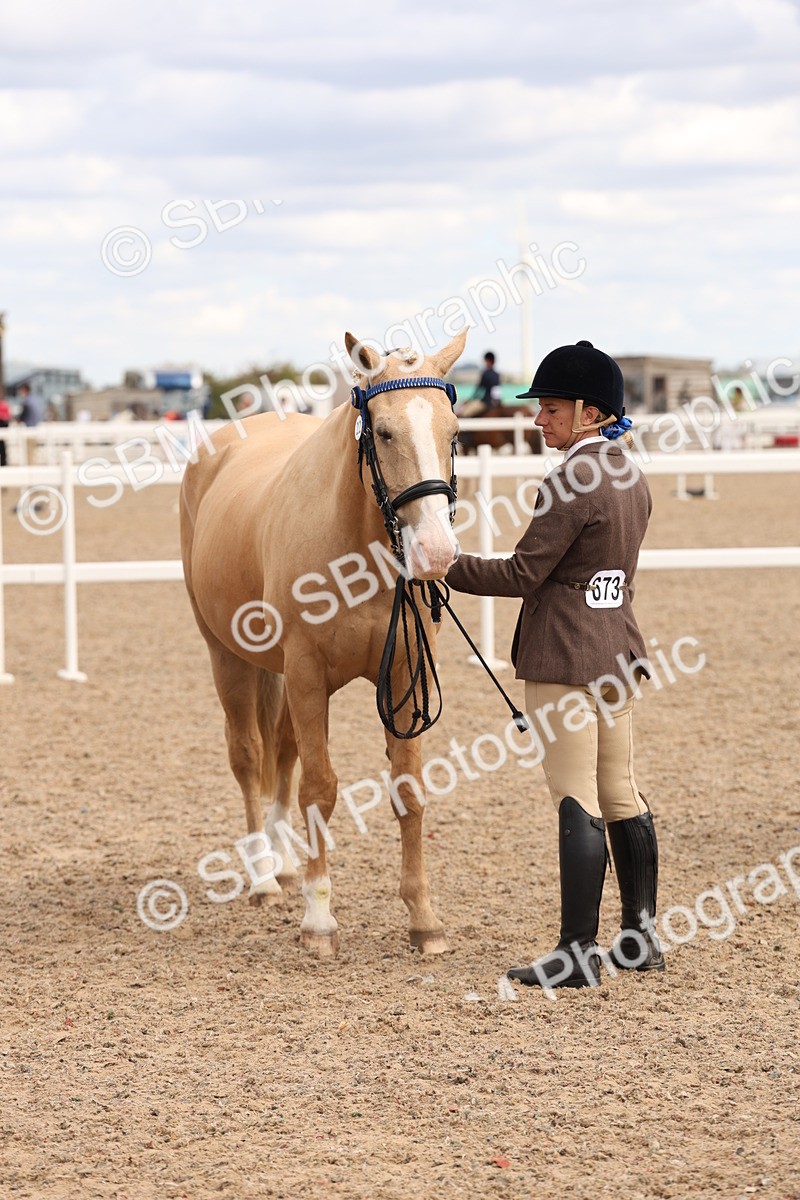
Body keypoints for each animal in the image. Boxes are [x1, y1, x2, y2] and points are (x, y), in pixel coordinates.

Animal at [180, 331, 467, 957]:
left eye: (454, 431)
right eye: (384, 432)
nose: (435, 551)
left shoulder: (404, 674)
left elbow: (407, 790)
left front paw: (423, 918)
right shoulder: (308, 672)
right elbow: (320, 788)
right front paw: (318, 919)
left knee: (282, 753)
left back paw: (285, 864)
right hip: (227, 657)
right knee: (250, 756)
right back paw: (265, 878)